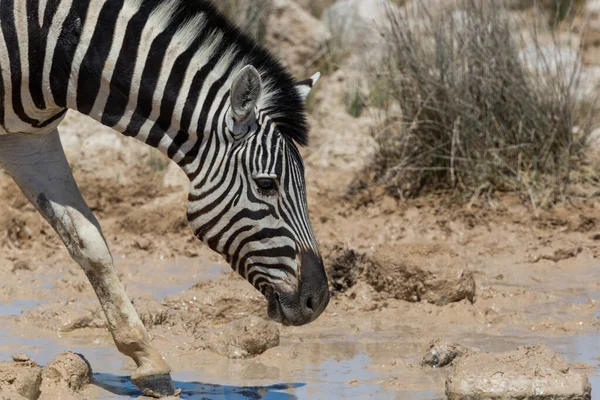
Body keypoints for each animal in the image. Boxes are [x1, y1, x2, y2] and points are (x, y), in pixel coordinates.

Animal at [0, 0, 328, 396]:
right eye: (266, 184)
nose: (318, 301)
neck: (48, 42)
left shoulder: (28, 140)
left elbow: (89, 243)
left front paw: (147, 359)